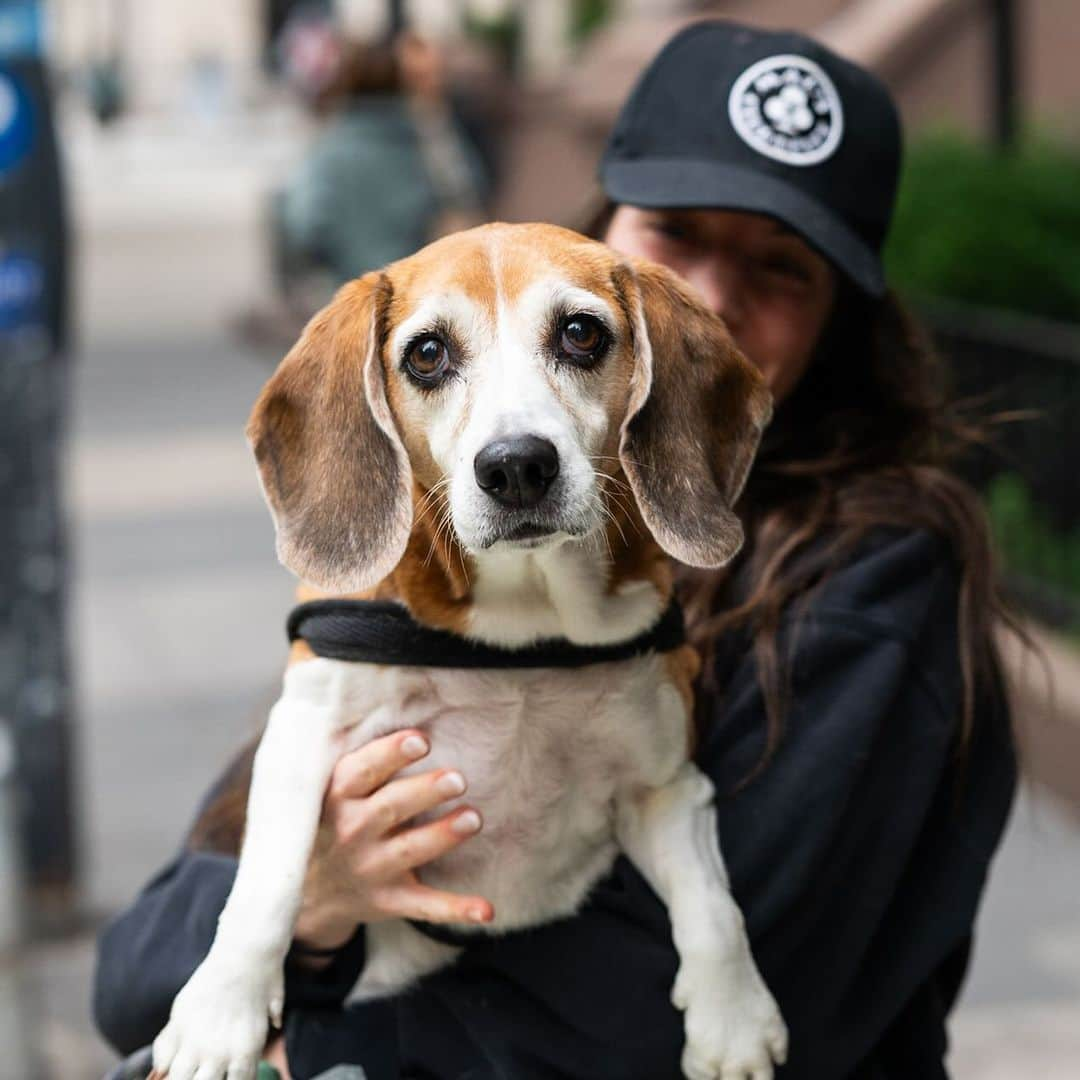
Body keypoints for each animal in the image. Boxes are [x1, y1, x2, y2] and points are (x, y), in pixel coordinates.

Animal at [152, 223, 790, 1080]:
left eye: (581, 333)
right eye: (427, 353)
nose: (517, 464)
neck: (518, 636)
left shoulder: (665, 787)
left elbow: (714, 907)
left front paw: (733, 1019)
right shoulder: (302, 733)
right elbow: (269, 885)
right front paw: (219, 1014)